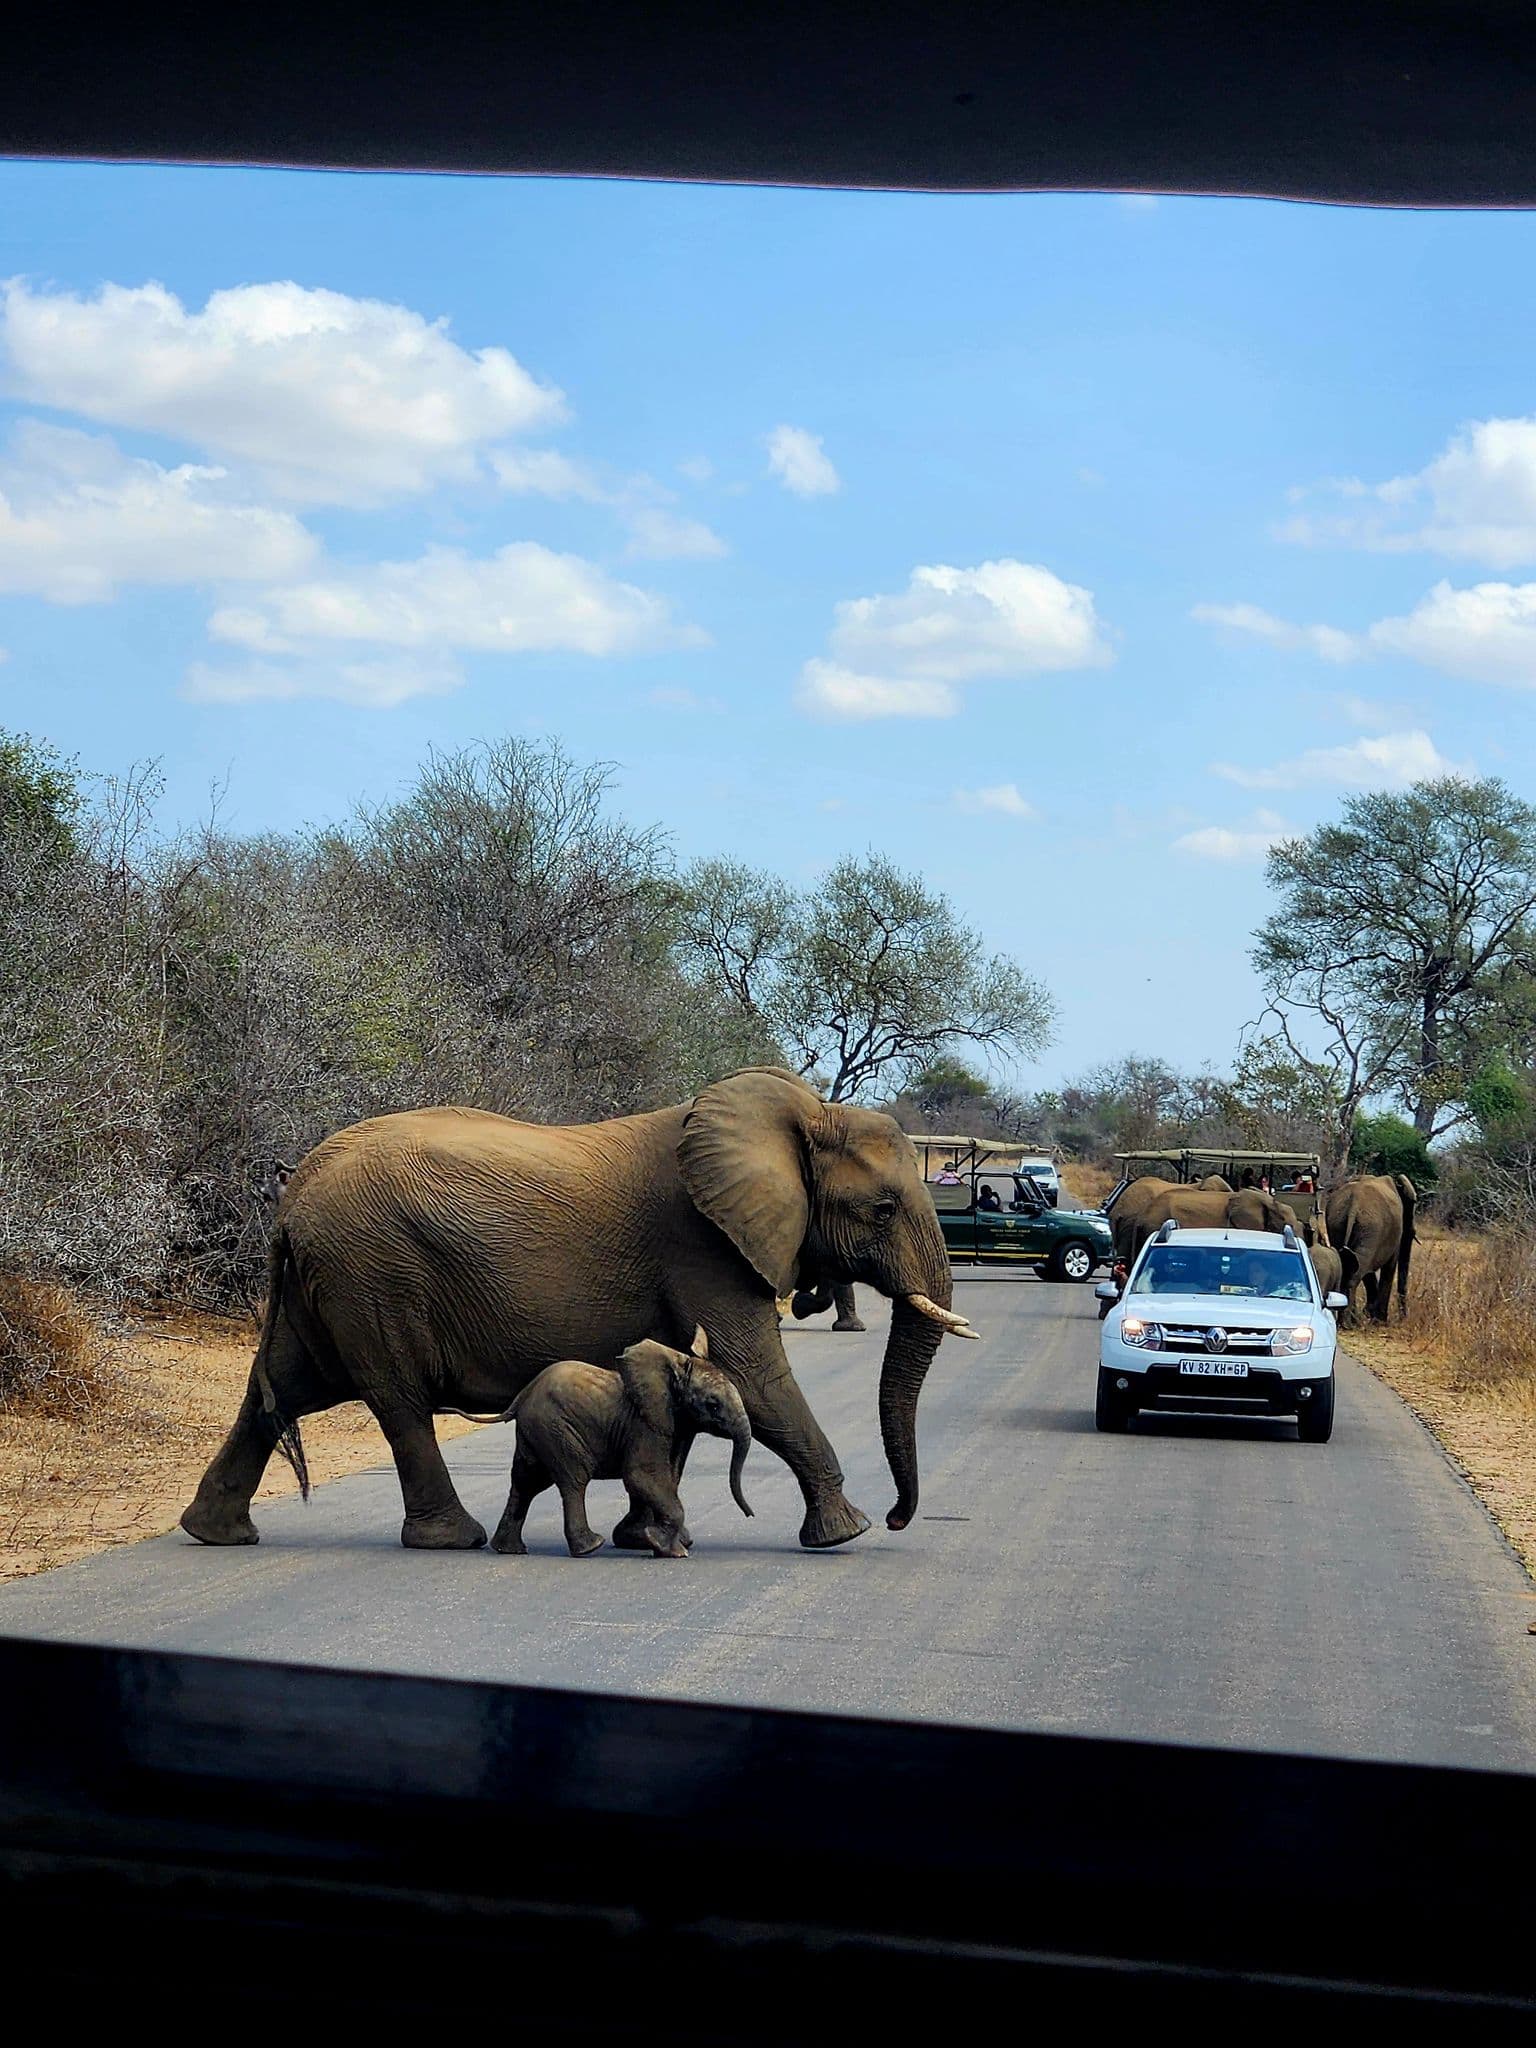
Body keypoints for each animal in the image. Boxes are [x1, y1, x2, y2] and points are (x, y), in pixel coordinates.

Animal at [488, 1326, 752, 1560]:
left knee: (527, 1481)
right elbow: (641, 1475)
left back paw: (509, 1549)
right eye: (713, 1405)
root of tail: (522, 1396)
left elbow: (666, 1477)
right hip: (555, 1428)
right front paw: (672, 1551)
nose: (750, 1514)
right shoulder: (645, 1424)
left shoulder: (678, 1426)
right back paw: (590, 1547)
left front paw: (647, 1540)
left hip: (536, 1432)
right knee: (574, 1479)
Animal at [1324, 1174, 1416, 1323]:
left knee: (1352, 1264)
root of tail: (1353, 1203)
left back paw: (1351, 1321)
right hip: (1371, 1228)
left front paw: (1370, 1314)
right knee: (1357, 1271)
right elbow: (1389, 1266)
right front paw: (1380, 1320)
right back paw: (1349, 1323)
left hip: (1339, 1224)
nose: (1403, 1318)